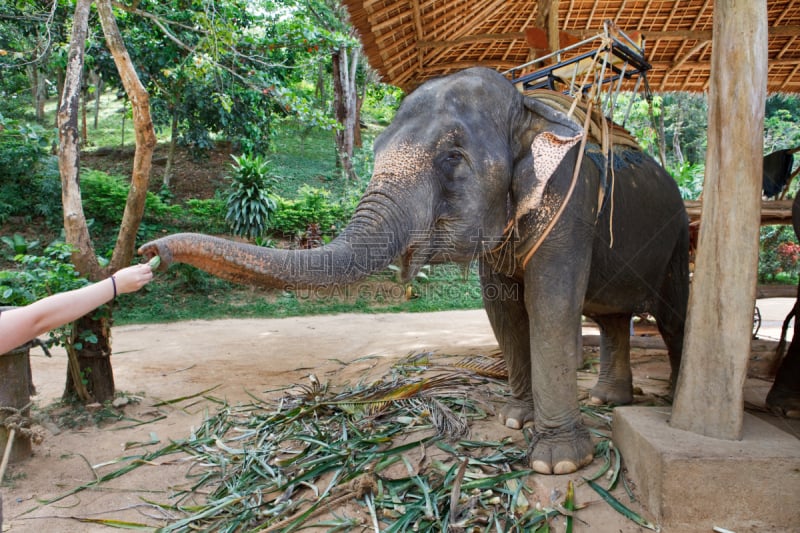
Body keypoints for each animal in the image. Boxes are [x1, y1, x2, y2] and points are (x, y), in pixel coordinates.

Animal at [141, 67, 692, 474]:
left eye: (452, 156)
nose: (150, 252)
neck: (527, 105)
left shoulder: (569, 204)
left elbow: (550, 306)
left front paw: (557, 464)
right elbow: (503, 310)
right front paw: (515, 421)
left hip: (678, 239)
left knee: (671, 317)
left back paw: (670, 401)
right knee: (613, 319)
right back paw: (608, 400)